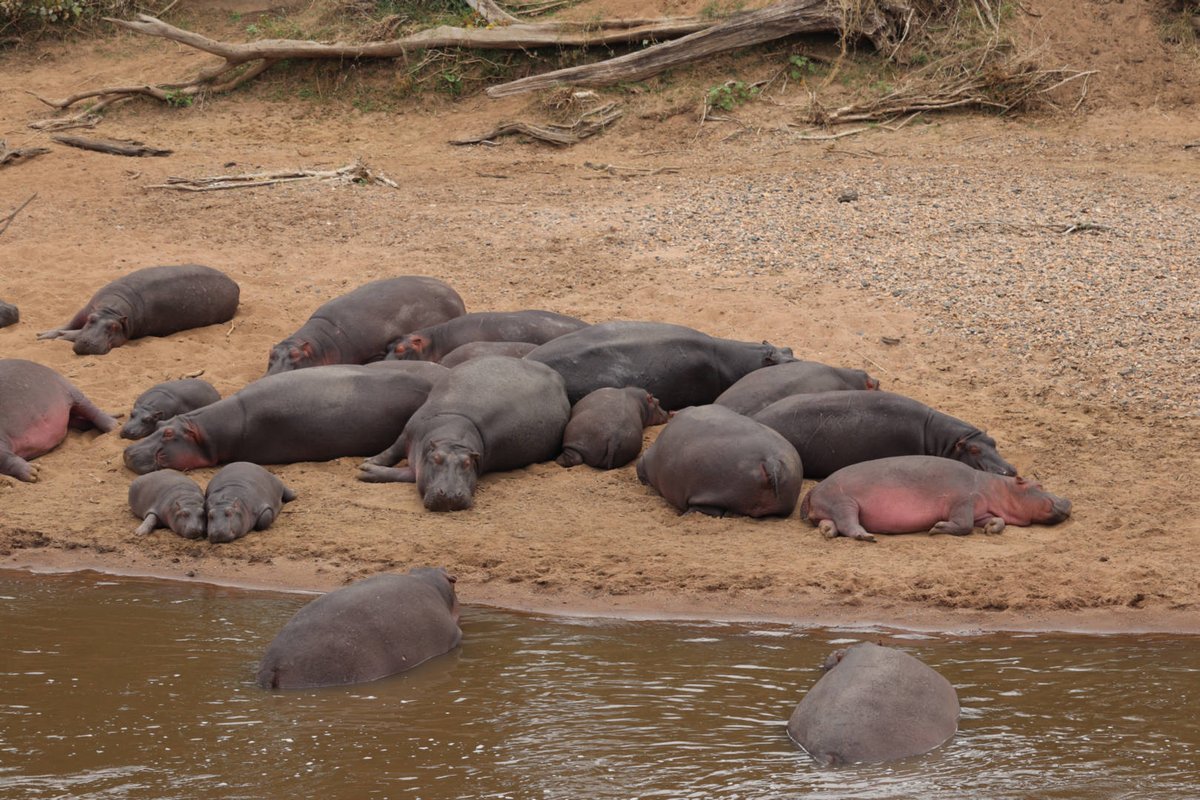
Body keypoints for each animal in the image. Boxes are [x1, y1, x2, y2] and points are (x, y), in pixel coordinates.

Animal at [36, 264, 240, 355]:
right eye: (91, 320)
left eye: (114, 328)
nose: (88, 343)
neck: (110, 311)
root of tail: (235, 284)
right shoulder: (86, 310)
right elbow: (69, 323)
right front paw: (42, 334)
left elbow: (72, 331)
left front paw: (59, 337)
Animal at [358, 356, 570, 512]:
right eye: (436, 459)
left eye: (467, 463)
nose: (451, 495)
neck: (451, 438)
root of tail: (557, 376)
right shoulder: (408, 436)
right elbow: (391, 452)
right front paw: (367, 464)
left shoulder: (420, 467)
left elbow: (407, 475)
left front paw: (366, 471)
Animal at [800, 455, 1071, 542]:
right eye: (1038, 484)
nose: (1068, 500)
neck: (996, 489)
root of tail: (815, 488)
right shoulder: (962, 501)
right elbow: (964, 525)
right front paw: (936, 528)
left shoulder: (982, 510)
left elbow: (995, 521)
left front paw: (991, 528)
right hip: (845, 502)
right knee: (849, 524)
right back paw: (866, 536)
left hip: (833, 507)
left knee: (831, 523)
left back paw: (827, 531)